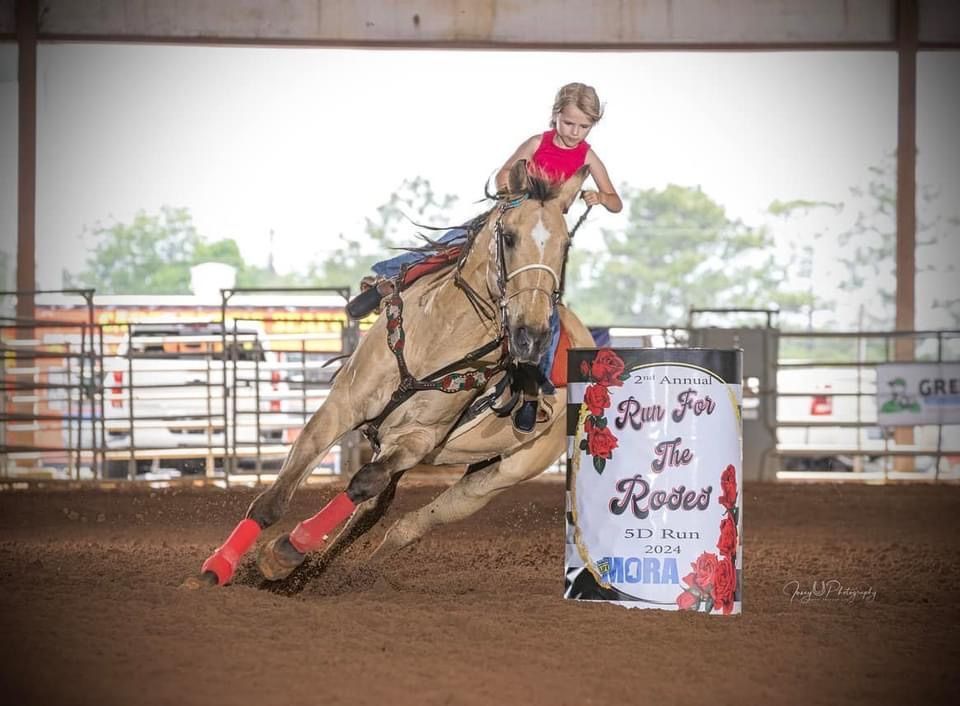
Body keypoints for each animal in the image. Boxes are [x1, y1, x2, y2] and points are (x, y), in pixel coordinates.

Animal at [187, 162, 592, 584]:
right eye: (509, 238)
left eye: (564, 246)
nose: (532, 335)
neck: (436, 341)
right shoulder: (340, 408)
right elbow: (273, 499)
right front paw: (214, 569)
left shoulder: (417, 440)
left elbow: (363, 482)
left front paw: (285, 551)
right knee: (371, 513)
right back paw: (307, 575)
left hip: (501, 474)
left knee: (407, 524)